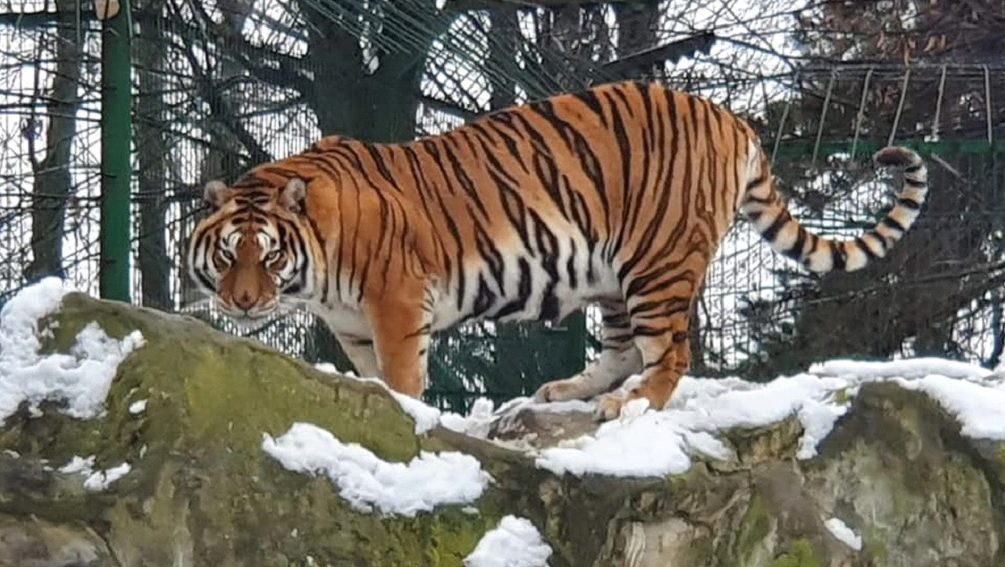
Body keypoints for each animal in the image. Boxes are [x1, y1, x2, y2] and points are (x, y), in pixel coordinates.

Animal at [186, 79, 924, 418]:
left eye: (267, 255)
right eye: (227, 255)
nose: (243, 303)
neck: (315, 270)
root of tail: (731, 117)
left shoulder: (395, 303)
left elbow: (403, 376)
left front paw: (410, 414)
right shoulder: (353, 327)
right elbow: (374, 376)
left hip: (657, 259)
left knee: (670, 352)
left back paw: (630, 406)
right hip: (616, 271)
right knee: (625, 347)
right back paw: (565, 389)